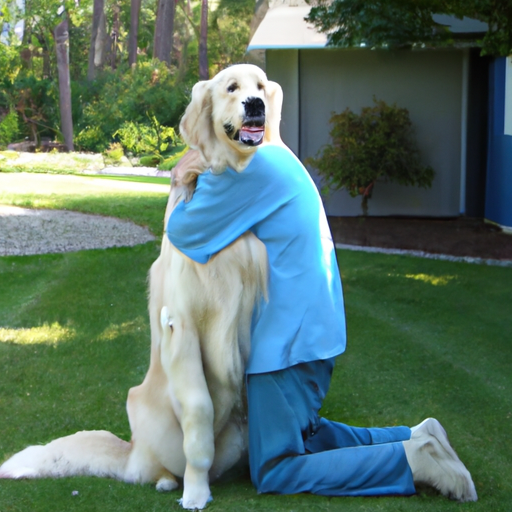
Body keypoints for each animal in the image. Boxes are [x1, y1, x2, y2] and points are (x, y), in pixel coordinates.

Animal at [0, 66, 284, 510]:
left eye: (260, 87)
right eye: (231, 88)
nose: (255, 105)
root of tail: (130, 450)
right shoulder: (182, 329)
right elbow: (199, 416)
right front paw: (195, 493)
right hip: (145, 419)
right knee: (157, 468)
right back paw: (172, 481)